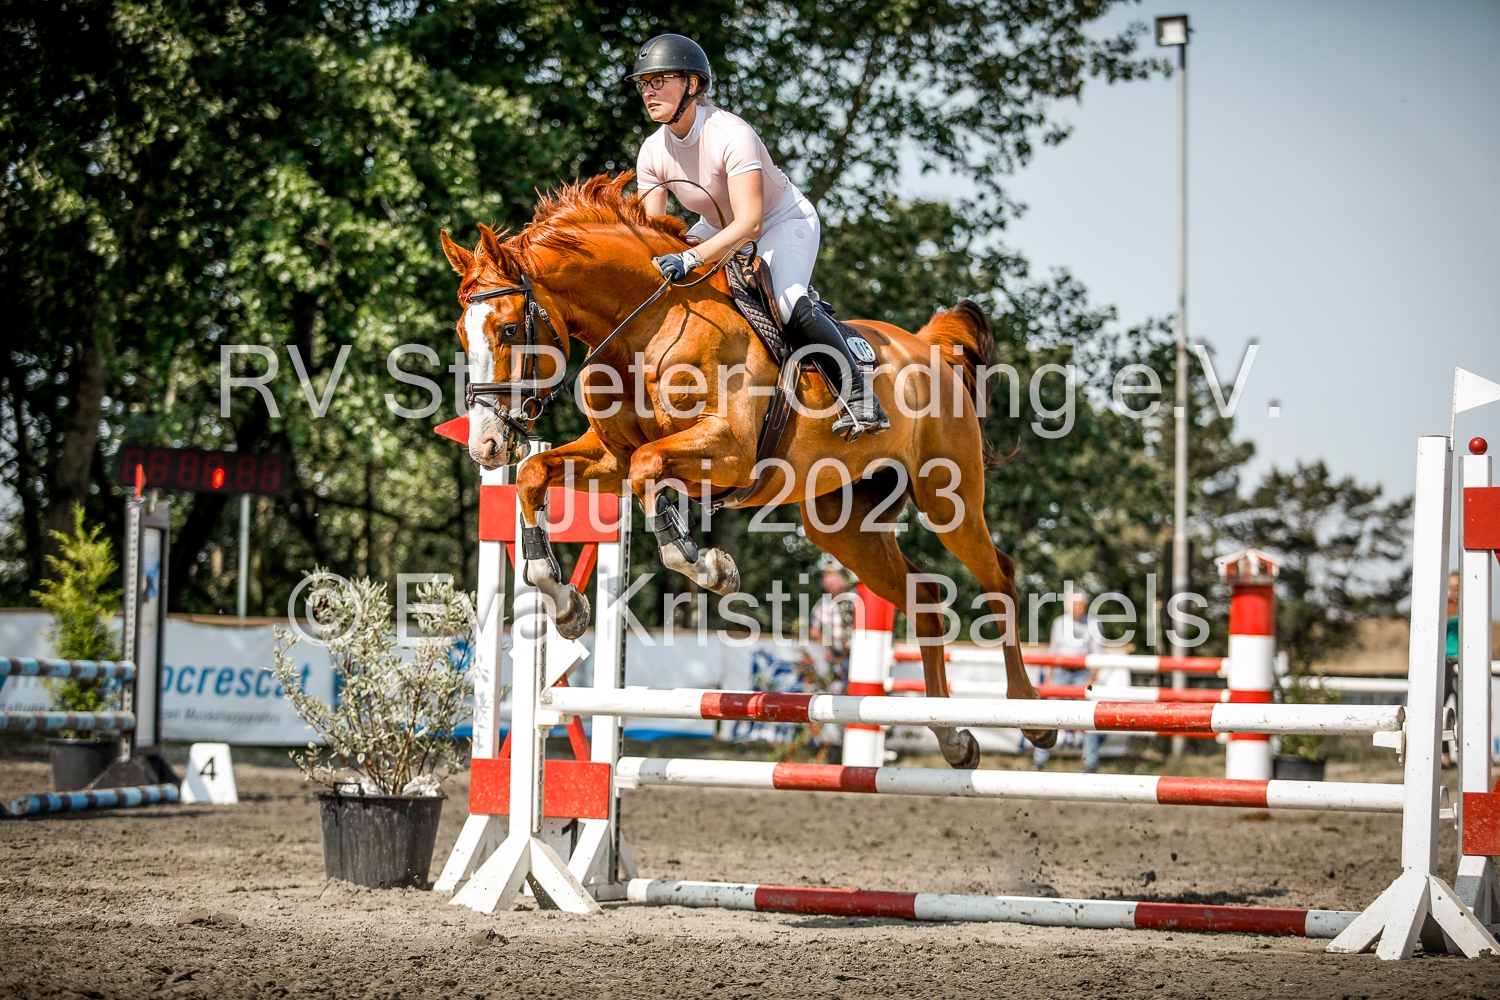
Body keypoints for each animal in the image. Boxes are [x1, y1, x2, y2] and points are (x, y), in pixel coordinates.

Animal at [440, 173, 1055, 767]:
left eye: (507, 329)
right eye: (461, 332)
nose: (487, 446)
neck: (645, 327)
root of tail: (929, 349)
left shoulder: (729, 451)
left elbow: (649, 467)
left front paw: (708, 567)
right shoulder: (610, 457)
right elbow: (539, 474)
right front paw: (564, 601)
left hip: (949, 499)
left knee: (999, 577)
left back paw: (1030, 715)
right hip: (845, 526)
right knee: (925, 600)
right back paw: (953, 737)